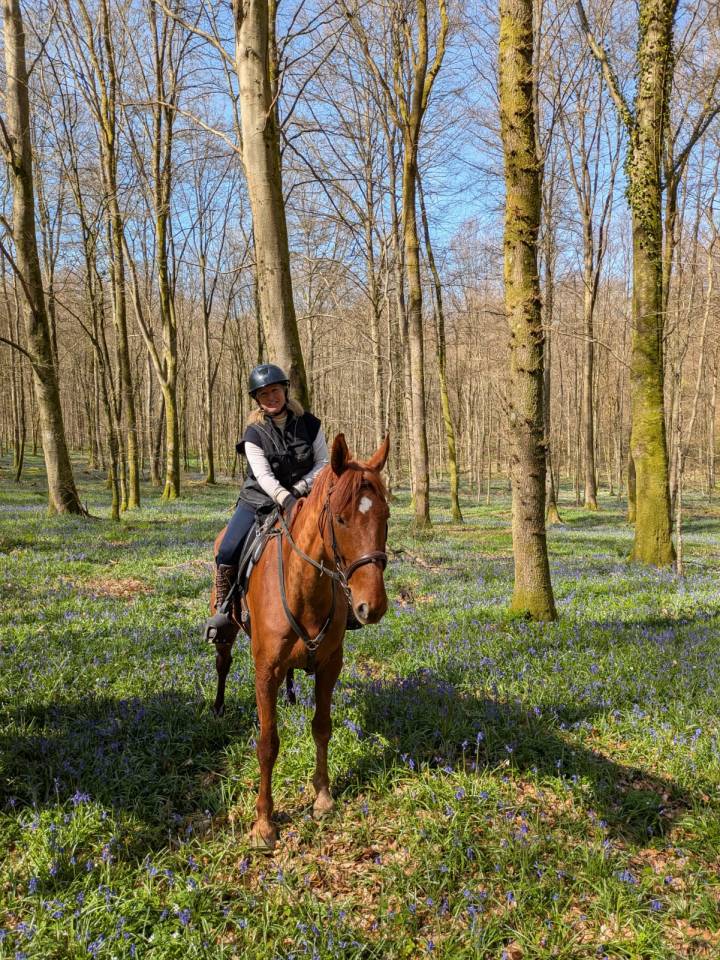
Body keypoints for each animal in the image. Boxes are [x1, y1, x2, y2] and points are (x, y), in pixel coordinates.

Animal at [210, 433, 390, 850]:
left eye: (386, 517)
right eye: (340, 519)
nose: (371, 606)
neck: (305, 587)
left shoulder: (329, 665)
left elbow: (322, 726)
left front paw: (322, 797)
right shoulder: (264, 670)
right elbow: (267, 743)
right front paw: (264, 822)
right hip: (226, 629)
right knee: (223, 663)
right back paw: (219, 706)